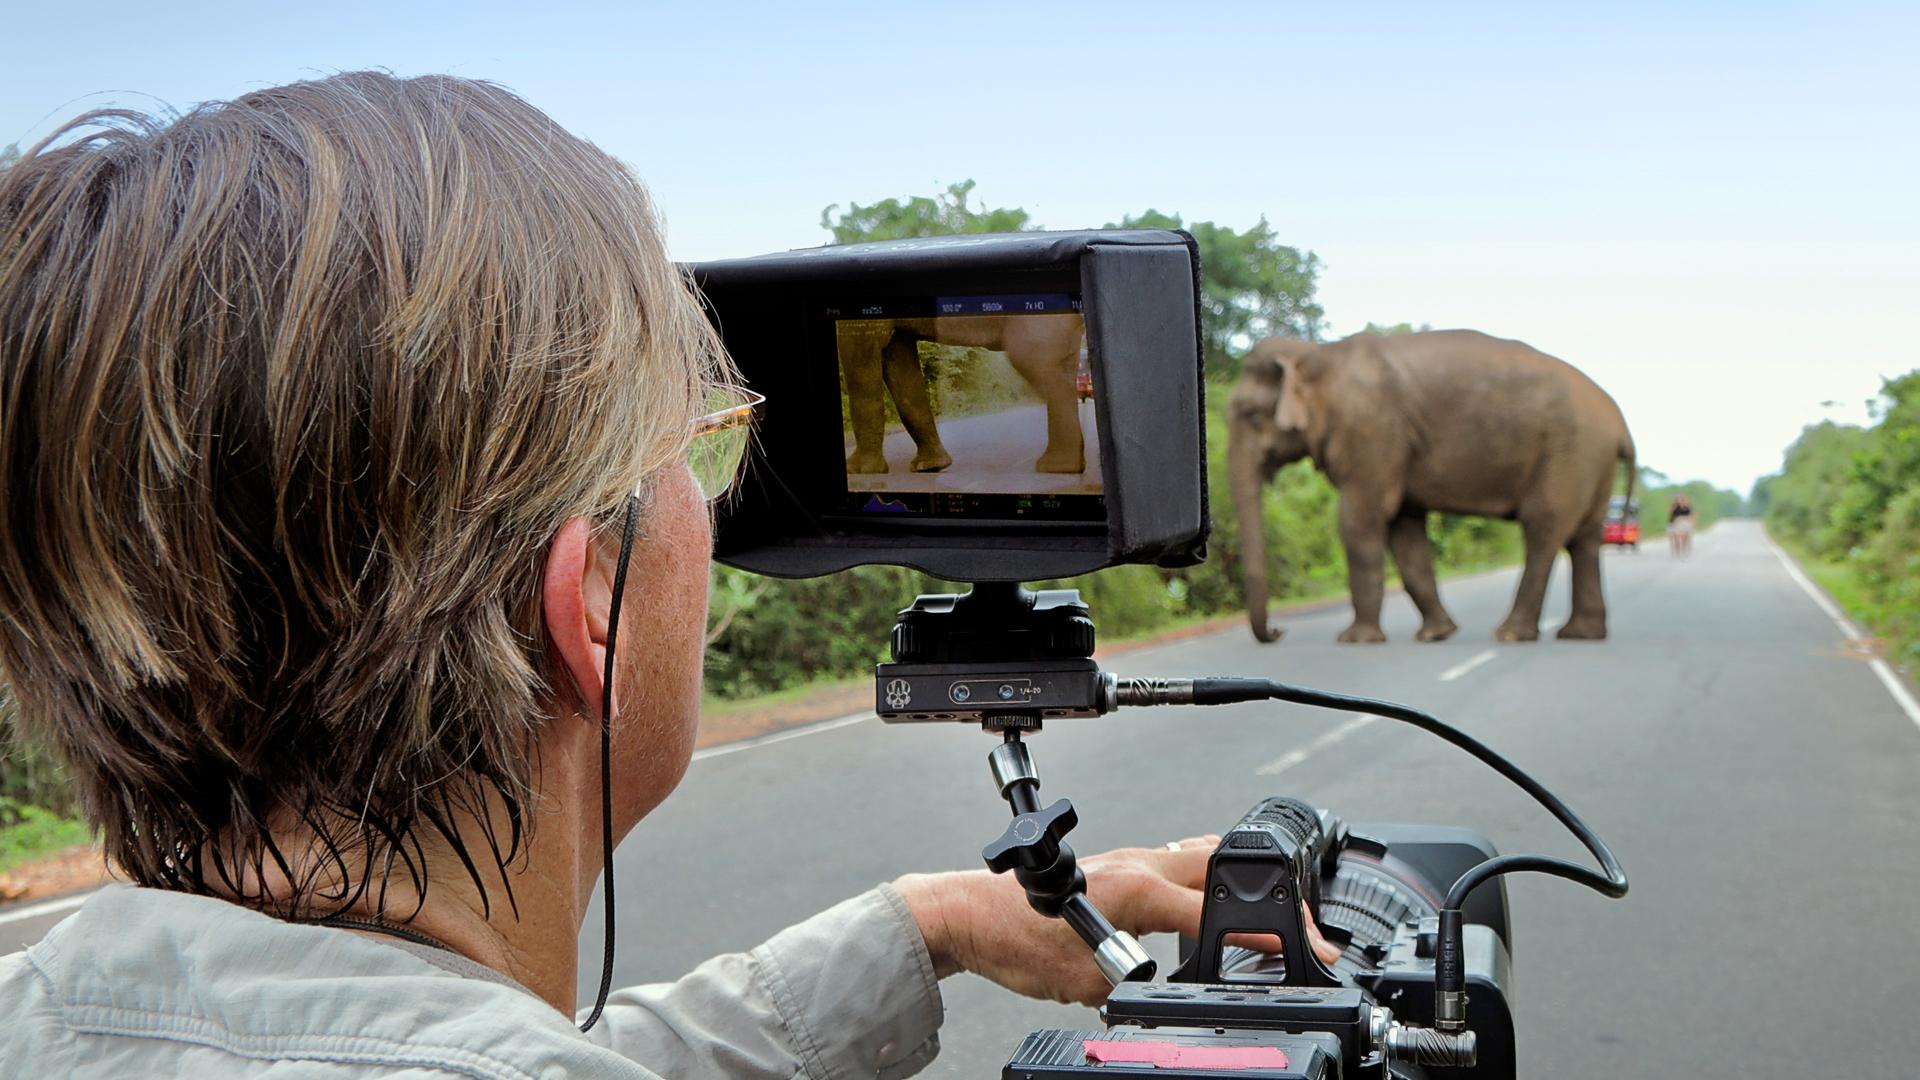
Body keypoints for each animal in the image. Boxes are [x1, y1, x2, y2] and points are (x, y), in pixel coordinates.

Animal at [840, 313, 1085, 475]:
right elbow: (901, 366)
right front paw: (931, 466)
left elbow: (860, 361)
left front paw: (857, 470)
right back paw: (1065, 465)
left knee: (1033, 360)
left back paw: (1057, 467)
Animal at [1228, 329, 1636, 644]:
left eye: (1252, 415)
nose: (1278, 632)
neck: (1316, 352)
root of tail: (1618, 419)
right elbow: (1405, 530)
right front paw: (1436, 635)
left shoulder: (1371, 431)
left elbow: (1359, 521)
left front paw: (1354, 641)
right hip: (1590, 460)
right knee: (1584, 538)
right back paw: (1580, 634)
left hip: (1568, 452)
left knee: (1544, 527)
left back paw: (1510, 635)